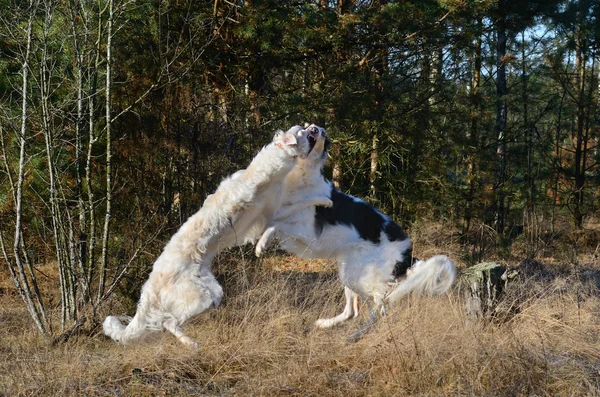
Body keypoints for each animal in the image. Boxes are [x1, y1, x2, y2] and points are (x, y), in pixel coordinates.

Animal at [103, 125, 332, 344]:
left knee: (170, 322)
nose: (315, 129)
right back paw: (191, 344)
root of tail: (152, 282)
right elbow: (306, 200)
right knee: (169, 322)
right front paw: (326, 200)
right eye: (302, 131)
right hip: (201, 297)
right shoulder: (273, 213)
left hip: (213, 292)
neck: (276, 158)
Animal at [255, 124, 458, 338]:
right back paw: (327, 325)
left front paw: (261, 245)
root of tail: (408, 254)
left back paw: (357, 335)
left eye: (322, 133)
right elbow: (272, 221)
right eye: (307, 125)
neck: (301, 175)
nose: (316, 128)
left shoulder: (308, 233)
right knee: (353, 311)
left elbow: (275, 225)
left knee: (381, 306)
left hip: (360, 277)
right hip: (348, 271)